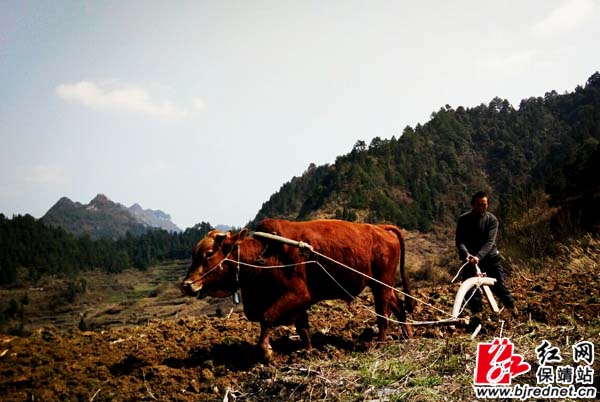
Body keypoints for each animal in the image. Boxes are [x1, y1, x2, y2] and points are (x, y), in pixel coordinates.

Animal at [181, 218, 412, 360]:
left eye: (209, 253)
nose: (187, 285)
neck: (266, 254)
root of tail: (381, 228)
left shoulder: (297, 295)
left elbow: (267, 317)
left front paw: (267, 352)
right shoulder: (300, 303)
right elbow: (303, 329)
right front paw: (309, 351)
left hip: (381, 286)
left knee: (383, 315)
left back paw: (380, 343)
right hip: (383, 285)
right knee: (399, 308)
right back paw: (408, 335)